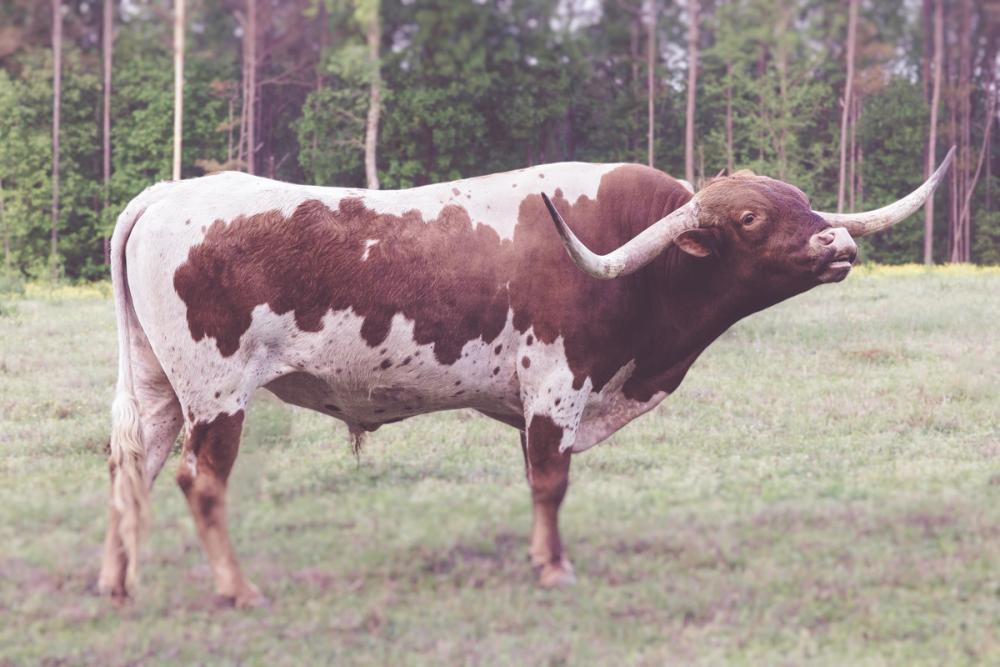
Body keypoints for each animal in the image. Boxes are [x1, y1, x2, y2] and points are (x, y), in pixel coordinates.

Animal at [98, 148, 955, 607]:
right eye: (751, 219)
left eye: (800, 200)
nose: (840, 243)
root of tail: (165, 193)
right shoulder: (556, 385)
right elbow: (550, 480)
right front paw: (552, 567)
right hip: (218, 392)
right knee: (200, 483)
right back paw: (237, 589)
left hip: (157, 386)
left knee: (131, 467)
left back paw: (117, 583)